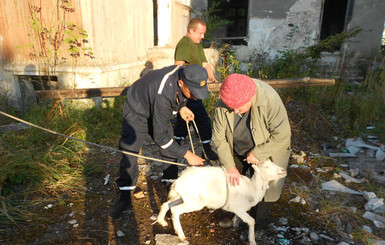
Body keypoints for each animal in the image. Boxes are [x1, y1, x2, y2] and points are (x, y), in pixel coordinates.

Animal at [155, 159, 284, 245]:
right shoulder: (239, 208)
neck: (252, 188)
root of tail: (178, 181)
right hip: (194, 202)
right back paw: (181, 236)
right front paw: (252, 241)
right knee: (175, 210)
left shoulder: (239, 209)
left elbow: (239, 218)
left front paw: (235, 223)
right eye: (266, 167)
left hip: (184, 198)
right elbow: (252, 221)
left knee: (167, 204)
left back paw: (162, 222)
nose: (283, 170)